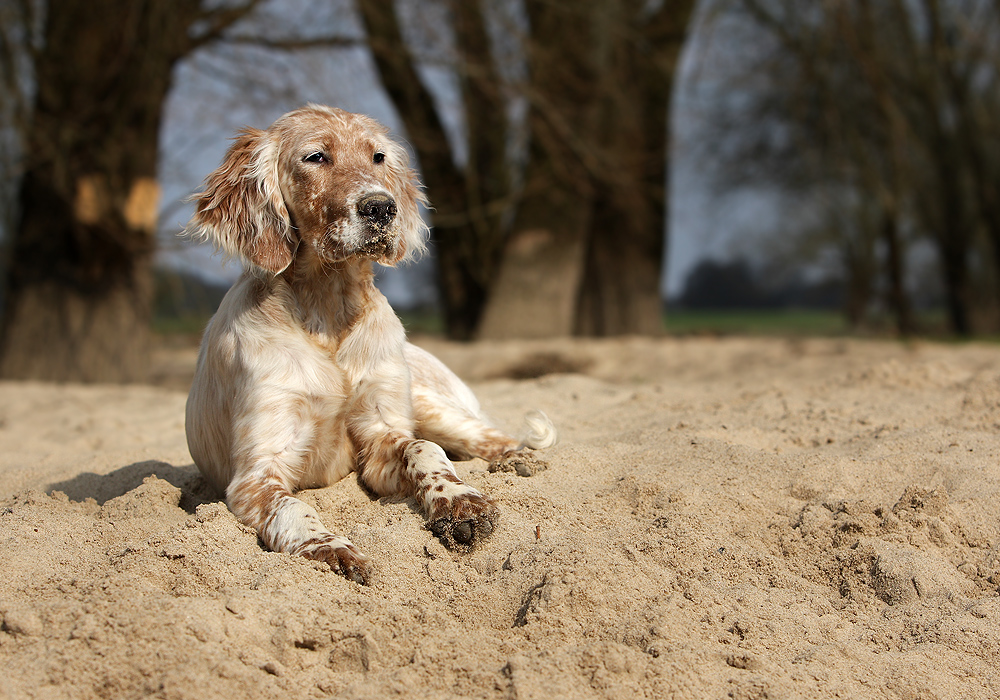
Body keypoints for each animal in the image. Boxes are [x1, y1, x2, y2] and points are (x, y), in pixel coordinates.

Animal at [185, 105, 560, 584]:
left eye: (378, 157)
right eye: (315, 157)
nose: (381, 207)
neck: (329, 312)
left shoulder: (381, 433)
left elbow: (424, 449)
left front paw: (460, 501)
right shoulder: (257, 472)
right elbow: (293, 509)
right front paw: (331, 549)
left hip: (429, 404)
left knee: (491, 436)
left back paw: (515, 461)